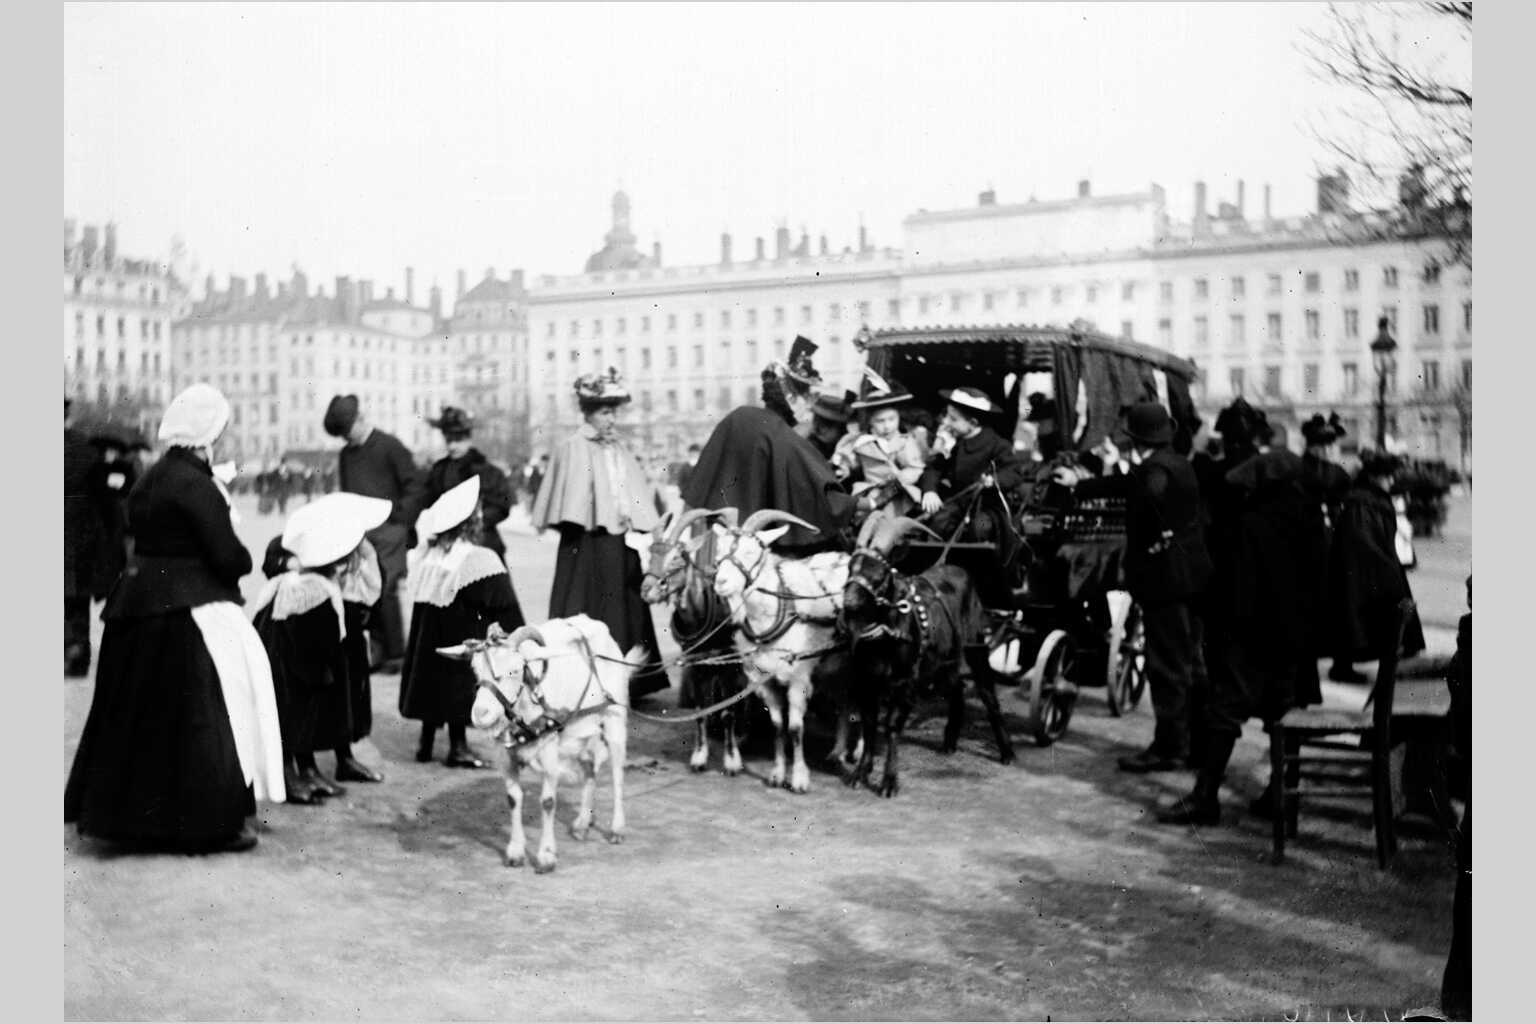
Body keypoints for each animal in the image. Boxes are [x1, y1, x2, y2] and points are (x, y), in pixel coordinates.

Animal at [439, 617, 642, 872]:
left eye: (515, 670)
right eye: (475, 670)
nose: (481, 714)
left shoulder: (549, 750)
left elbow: (547, 802)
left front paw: (546, 857)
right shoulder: (505, 756)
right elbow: (513, 799)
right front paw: (515, 852)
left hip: (614, 718)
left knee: (617, 774)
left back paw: (616, 829)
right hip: (580, 730)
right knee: (590, 769)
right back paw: (582, 823)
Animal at [706, 509, 854, 792]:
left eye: (751, 551)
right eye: (719, 550)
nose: (721, 582)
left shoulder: (799, 678)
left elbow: (795, 728)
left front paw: (799, 779)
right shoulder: (762, 679)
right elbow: (777, 726)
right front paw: (776, 774)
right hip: (832, 665)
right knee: (843, 701)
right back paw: (837, 752)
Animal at [835, 515, 1013, 798]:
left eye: (880, 575)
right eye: (851, 569)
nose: (849, 606)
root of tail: (960, 569)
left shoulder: (905, 682)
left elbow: (892, 725)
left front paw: (889, 783)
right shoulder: (866, 681)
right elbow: (870, 723)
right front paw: (859, 774)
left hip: (975, 644)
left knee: (987, 692)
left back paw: (1006, 752)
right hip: (942, 660)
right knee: (957, 686)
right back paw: (949, 741)